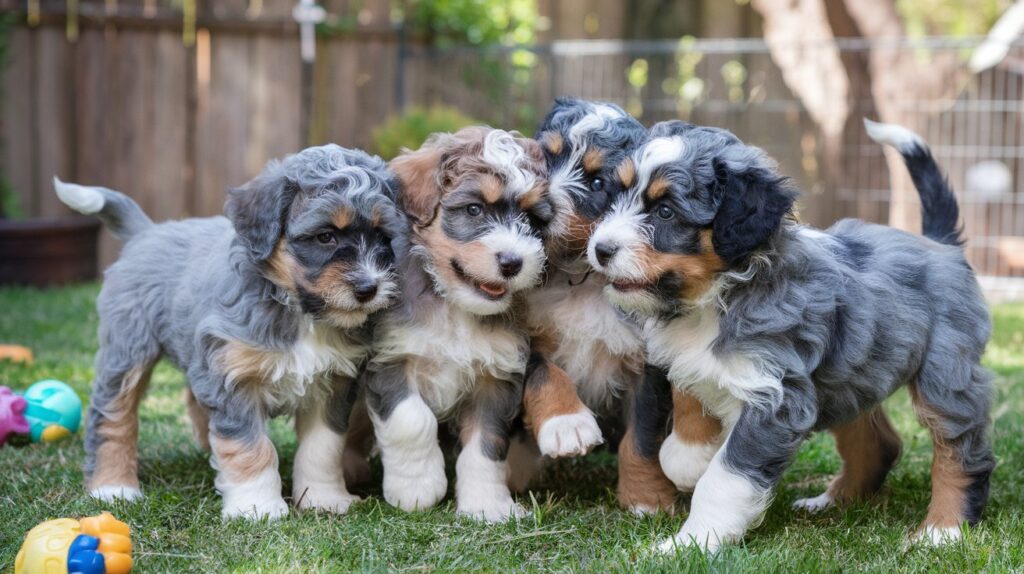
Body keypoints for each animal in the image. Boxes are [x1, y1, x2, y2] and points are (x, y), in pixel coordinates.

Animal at [52, 145, 403, 521]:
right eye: (326, 236)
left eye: (383, 236)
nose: (369, 288)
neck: (299, 312)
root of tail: (147, 232)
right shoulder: (233, 380)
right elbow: (250, 447)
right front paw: (258, 507)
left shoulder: (332, 384)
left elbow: (322, 448)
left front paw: (324, 499)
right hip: (128, 350)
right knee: (112, 416)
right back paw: (113, 486)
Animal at [364, 127, 557, 521]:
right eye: (474, 209)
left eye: (531, 219)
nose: (512, 262)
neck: (455, 306)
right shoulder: (391, 357)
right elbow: (412, 420)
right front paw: (416, 488)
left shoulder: (495, 379)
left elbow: (485, 446)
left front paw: (488, 504)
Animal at [520, 97, 729, 509]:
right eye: (545, 159)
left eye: (598, 183)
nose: (539, 210)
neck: (580, 278)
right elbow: (544, 372)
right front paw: (567, 424)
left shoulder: (647, 364)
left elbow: (642, 437)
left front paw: (646, 498)